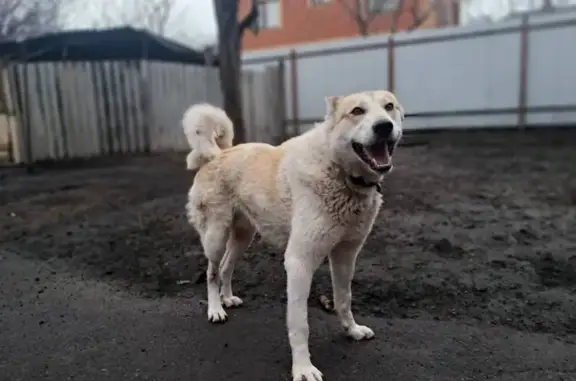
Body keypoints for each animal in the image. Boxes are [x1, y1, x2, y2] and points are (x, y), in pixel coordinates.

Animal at [184, 91, 404, 380]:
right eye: (357, 111)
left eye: (389, 107)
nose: (384, 126)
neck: (339, 171)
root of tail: (218, 153)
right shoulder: (299, 262)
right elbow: (300, 324)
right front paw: (303, 368)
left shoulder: (345, 255)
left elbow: (343, 299)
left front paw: (352, 330)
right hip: (216, 236)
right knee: (211, 272)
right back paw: (215, 309)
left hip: (243, 236)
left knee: (225, 268)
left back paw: (227, 298)